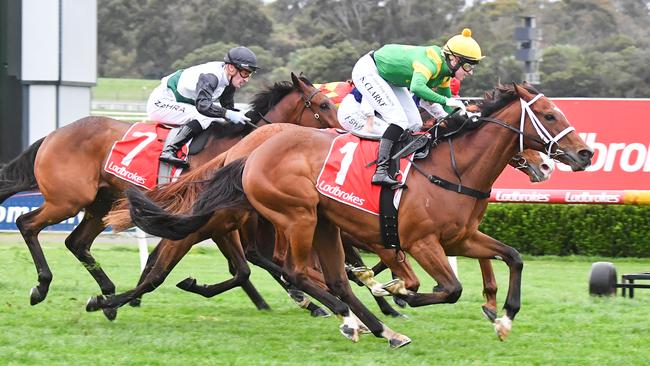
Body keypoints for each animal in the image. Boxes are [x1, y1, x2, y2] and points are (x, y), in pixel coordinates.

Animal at [0, 72, 336, 320]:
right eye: (323, 104)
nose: (341, 134)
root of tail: (54, 134)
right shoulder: (202, 222)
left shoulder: (223, 224)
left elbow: (242, 269)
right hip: (67, 200)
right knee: (28, 224)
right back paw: (43, 287)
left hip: (101, 204)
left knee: (77, 242)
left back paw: (108, 292)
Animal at [102, 82, 592, 346]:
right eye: (549, 114)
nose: (584, 154)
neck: (453, 168)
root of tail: (253, 151)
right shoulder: (419, 241)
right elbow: (448, 288)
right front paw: (400, 292)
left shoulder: (460, 237)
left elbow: (511, 256)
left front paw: (504, 315)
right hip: (297, 217)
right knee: (296, 271)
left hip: (321, 223)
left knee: (328, 277)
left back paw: (378, 327)